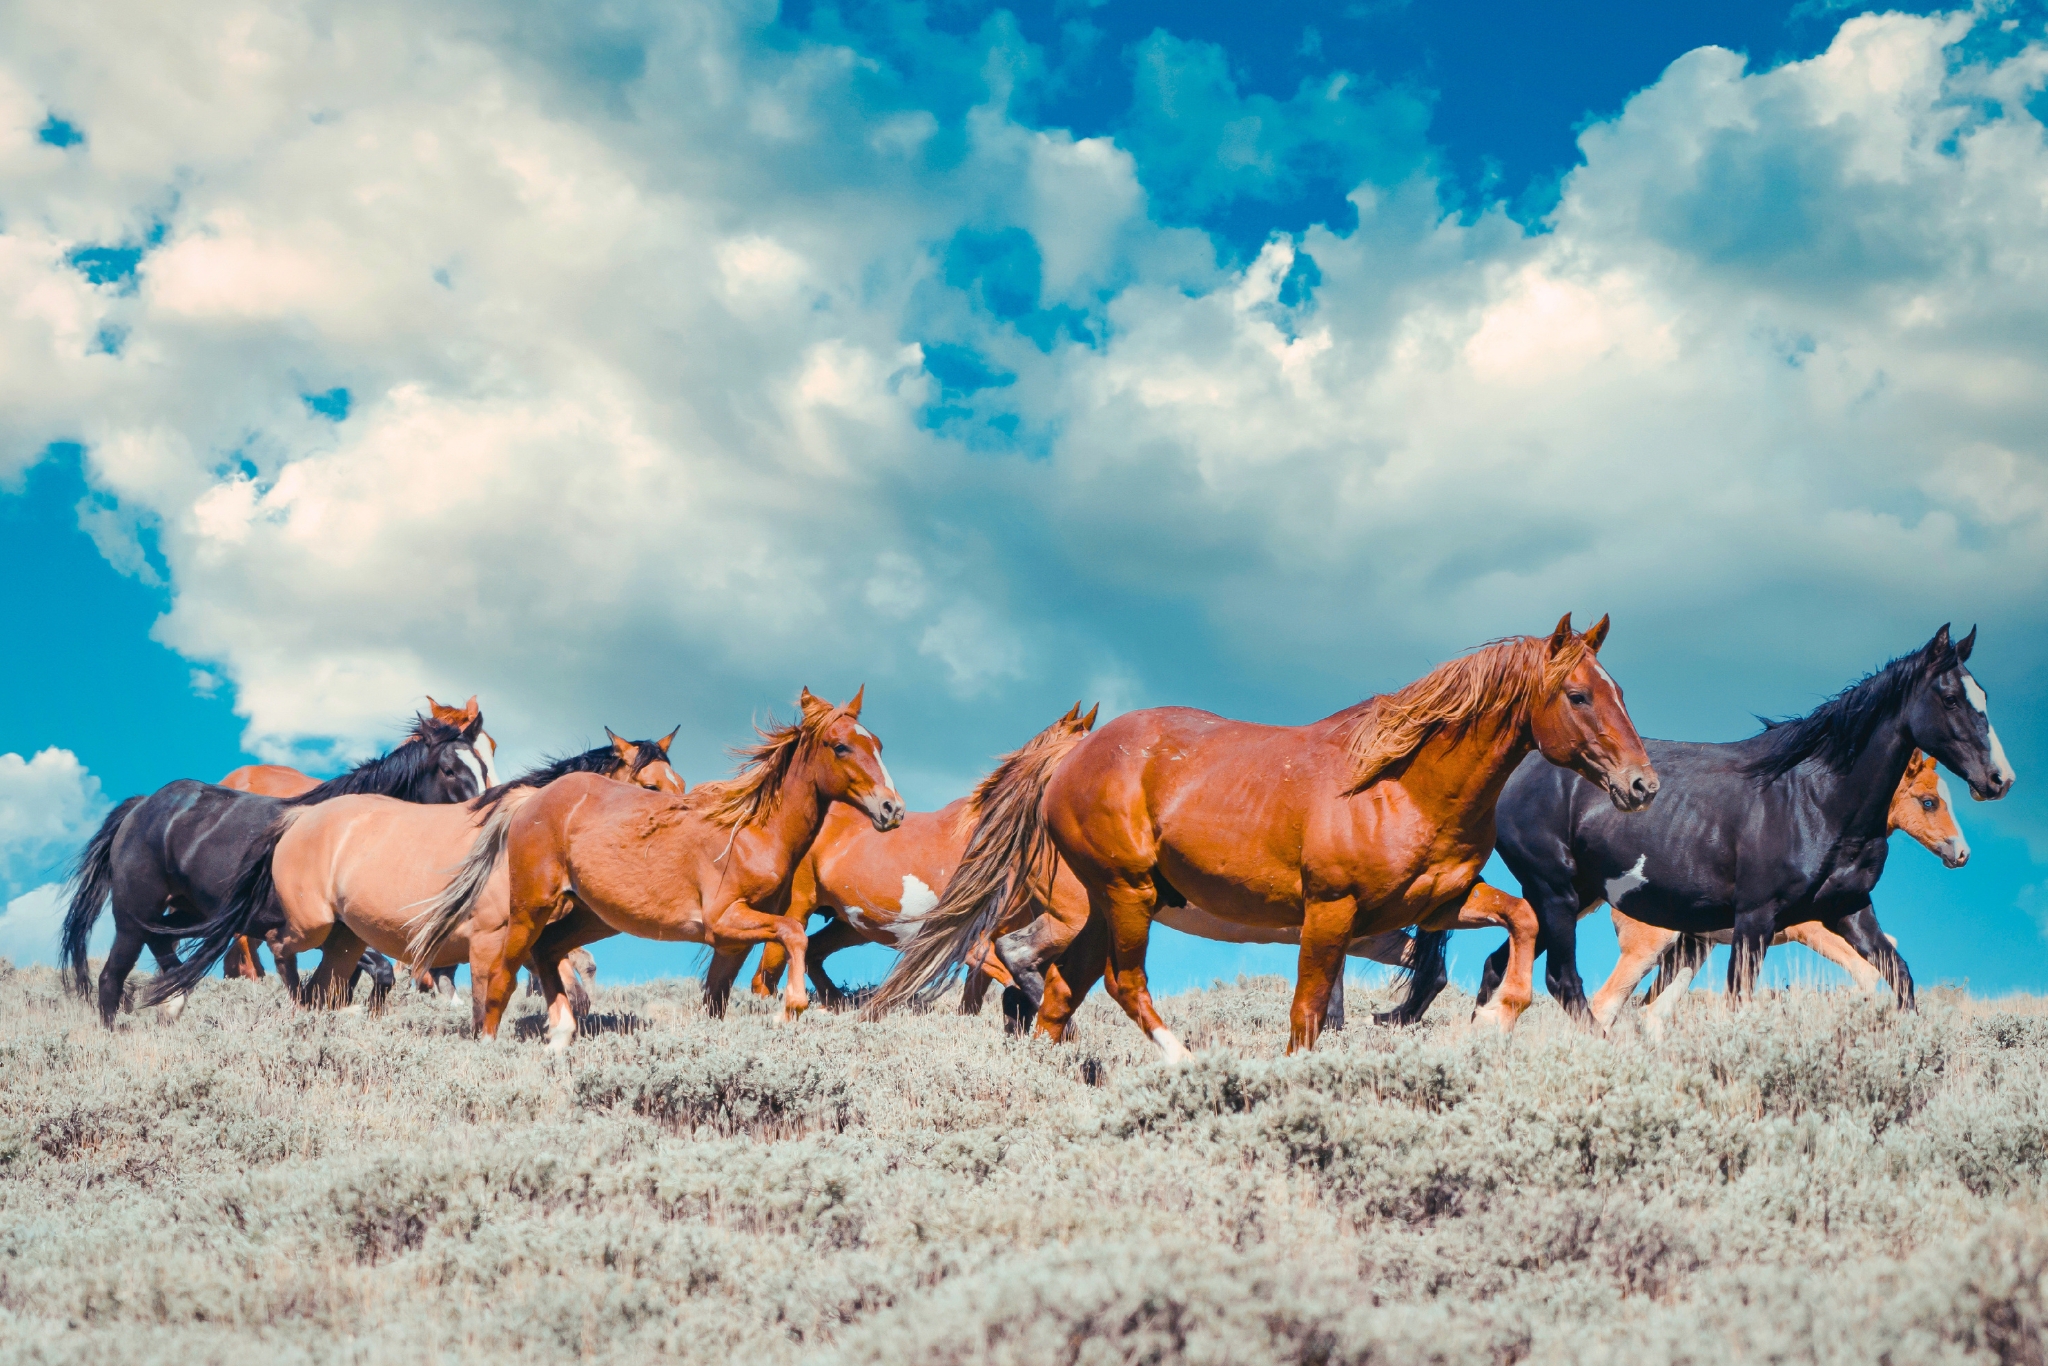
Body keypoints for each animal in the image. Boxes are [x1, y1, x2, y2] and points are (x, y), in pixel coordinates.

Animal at [61, 710, 495, 1026]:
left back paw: (172, 1003)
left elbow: (368, 976)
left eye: (482, 764)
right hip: (133, 913)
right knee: (110, 979)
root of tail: (141, 806)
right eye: (449, 769)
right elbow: (367, 973)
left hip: (189, 911)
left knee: (161, 941)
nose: (484, 819)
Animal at [400, 688, 901, 1050]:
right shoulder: (725, 922)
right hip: (530, 909)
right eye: (840, 746)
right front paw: (793, 1007)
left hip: (591, 917)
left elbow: (717, 999)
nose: (892, 809)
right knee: (503, 973)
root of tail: (532, 800)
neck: (751, 830)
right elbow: (794, 934)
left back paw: (562, 1035)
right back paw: (491, 1044)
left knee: (547, 951)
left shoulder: (732, 943)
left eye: (878, 744)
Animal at [870, 614, 1657, 1057]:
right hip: (1126, 894)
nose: (1642, 785)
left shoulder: (1434, 904)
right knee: (1119, 983)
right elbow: (1308, 1012)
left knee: (1061, 991)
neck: (1401, 785)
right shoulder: (1331, 913)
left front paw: (1496, 1021)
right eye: (1579, 696)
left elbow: (1518, 921)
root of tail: (1072, 753)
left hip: (1102, 904)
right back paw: (1183, 1062)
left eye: (1622, 692)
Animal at [1591, 749, 1969, 1030]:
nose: (1962, 853)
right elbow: (1867, 974)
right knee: (1604, 1004)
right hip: (1649, 948)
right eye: (1929, 801)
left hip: (1690, 952)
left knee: (1650, 1011)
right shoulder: (1812, 932)